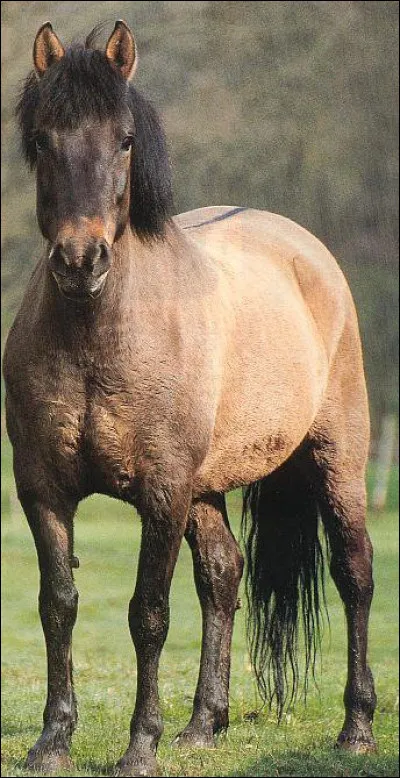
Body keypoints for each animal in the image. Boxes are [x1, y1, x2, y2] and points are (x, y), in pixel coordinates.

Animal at [3, 20, 377, 777]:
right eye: (44, 139)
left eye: (124, 139)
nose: (80, 261)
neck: (99, 333)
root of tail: (305, 249)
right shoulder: (43, 489)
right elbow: (58, 604)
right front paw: (53, 741)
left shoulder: (162, 492)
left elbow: (148, 613)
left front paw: (139, 746)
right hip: (207, 488)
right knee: (223, 575)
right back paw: (204, 725)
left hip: (336, 459)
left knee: (353, 573)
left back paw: (356, 728)